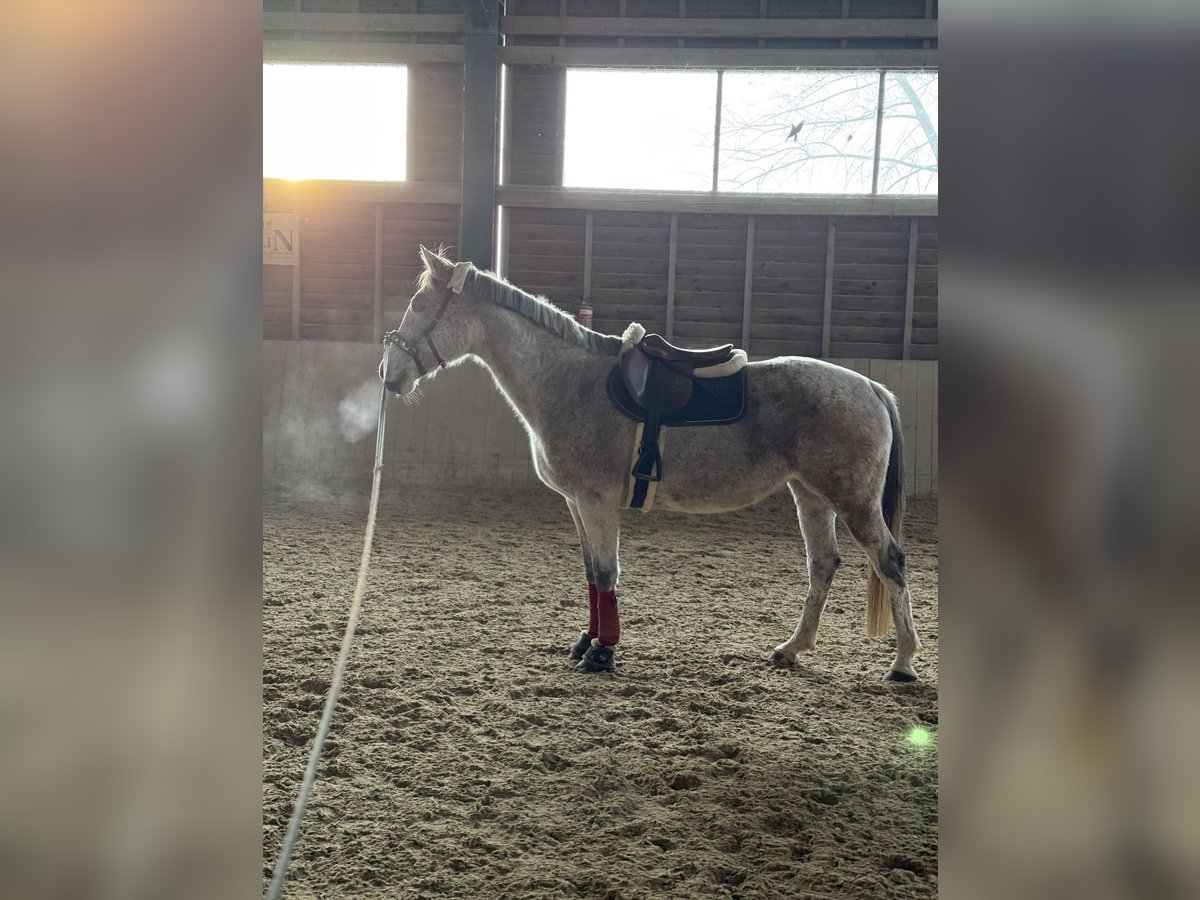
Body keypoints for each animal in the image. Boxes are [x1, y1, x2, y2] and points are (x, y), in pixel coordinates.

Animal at [380, 246, 920, 682]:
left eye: (420, 306)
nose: (390, 374)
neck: (568, 380)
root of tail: (869, 386)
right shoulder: (577, 504)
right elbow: (591, 574)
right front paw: (586, 642)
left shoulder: (596, 502)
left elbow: (605, 573)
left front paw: (602, 653)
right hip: (810, 494)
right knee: (823, 563)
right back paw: (792, 649)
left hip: (854, 501)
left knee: (889, 562)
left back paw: (903, 663)